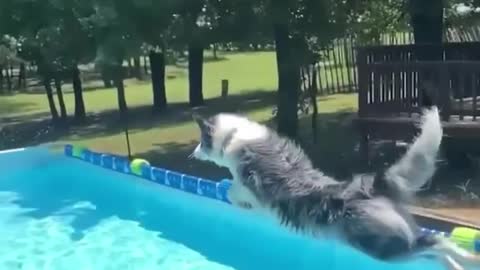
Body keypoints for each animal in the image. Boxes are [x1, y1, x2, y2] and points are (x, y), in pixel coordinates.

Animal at [189, 106, 478, 268]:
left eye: (201, 140)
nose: (193, 154)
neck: (234, 136)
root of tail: (372, 187)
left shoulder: (249, 184)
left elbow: (233, 190)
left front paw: (236, 198)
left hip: (384, 250)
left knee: (433, 246)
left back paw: (462, 262)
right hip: (398, 241)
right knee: (436, 245)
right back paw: (461, 263)